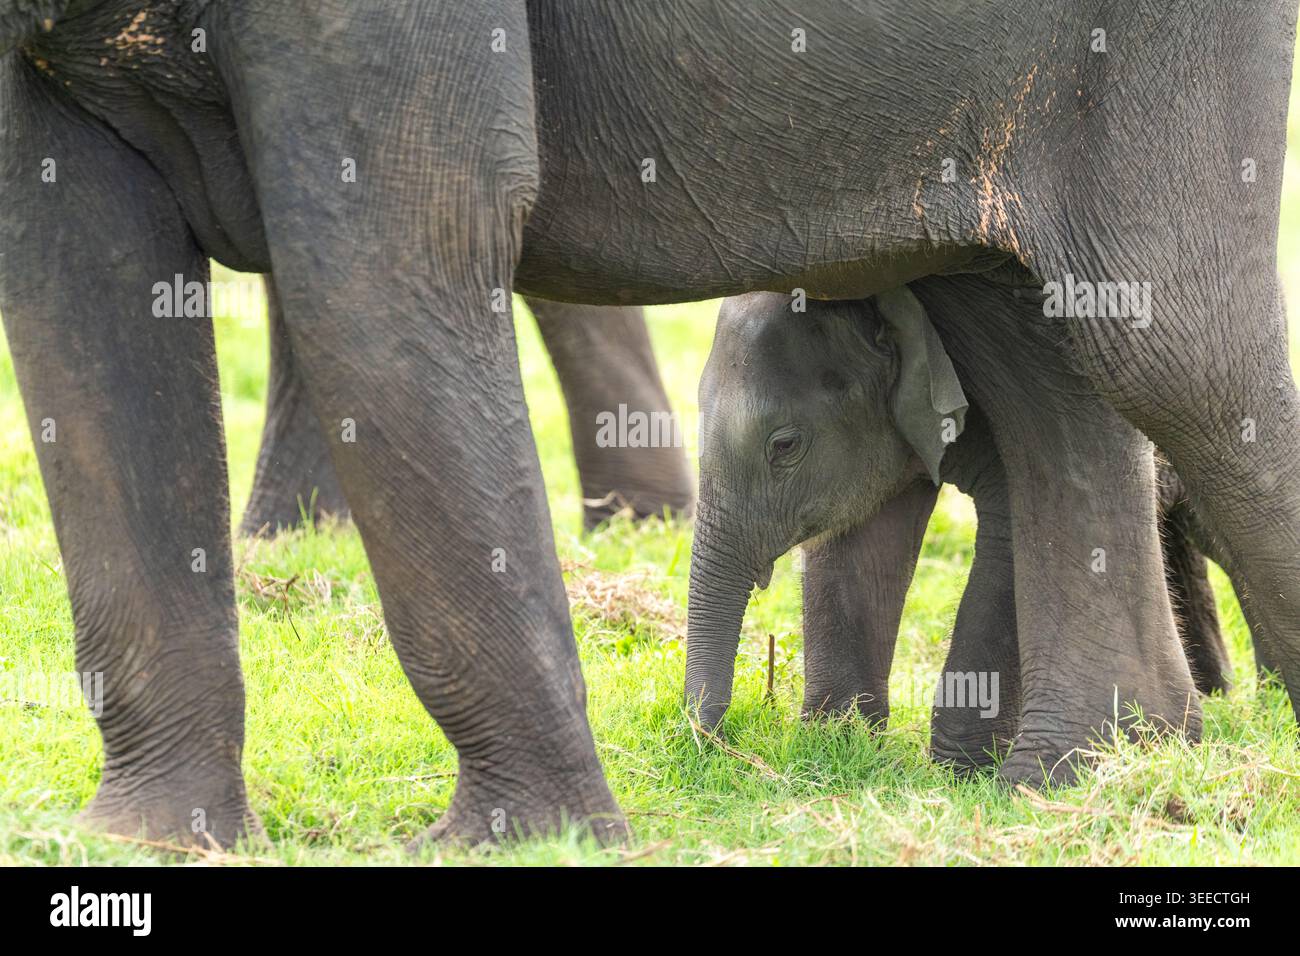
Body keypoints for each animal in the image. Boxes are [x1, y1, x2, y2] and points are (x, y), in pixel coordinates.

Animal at [688, 291, 1245, 770]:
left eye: (784, 445)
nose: (715, 743)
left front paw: (961, 769)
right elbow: (860, 547)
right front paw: (837, 741)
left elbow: (1015, 536)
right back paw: (1216, 690)